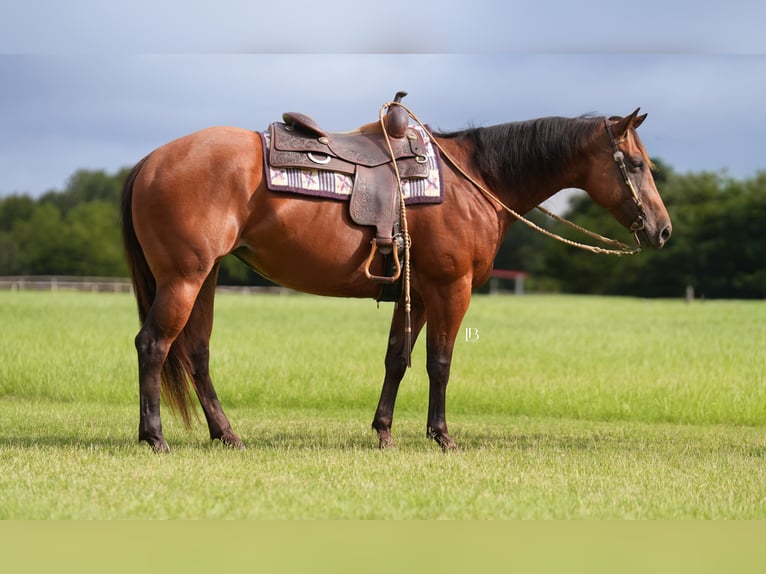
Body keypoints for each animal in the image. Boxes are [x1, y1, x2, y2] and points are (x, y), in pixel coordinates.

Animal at [121, 105, 671, 452]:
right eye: (636, 164)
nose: (662, 230)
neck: (476, 181)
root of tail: (150, 161)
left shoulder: (421, 293)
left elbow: (398, 359)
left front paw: (384, 431)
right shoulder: (452, 289)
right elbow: (440, 364)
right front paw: (441, 435)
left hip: (206, 277)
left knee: (195, 352)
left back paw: (226, 434)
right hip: (184, 278)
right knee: (153, 344)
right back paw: (155, 436)